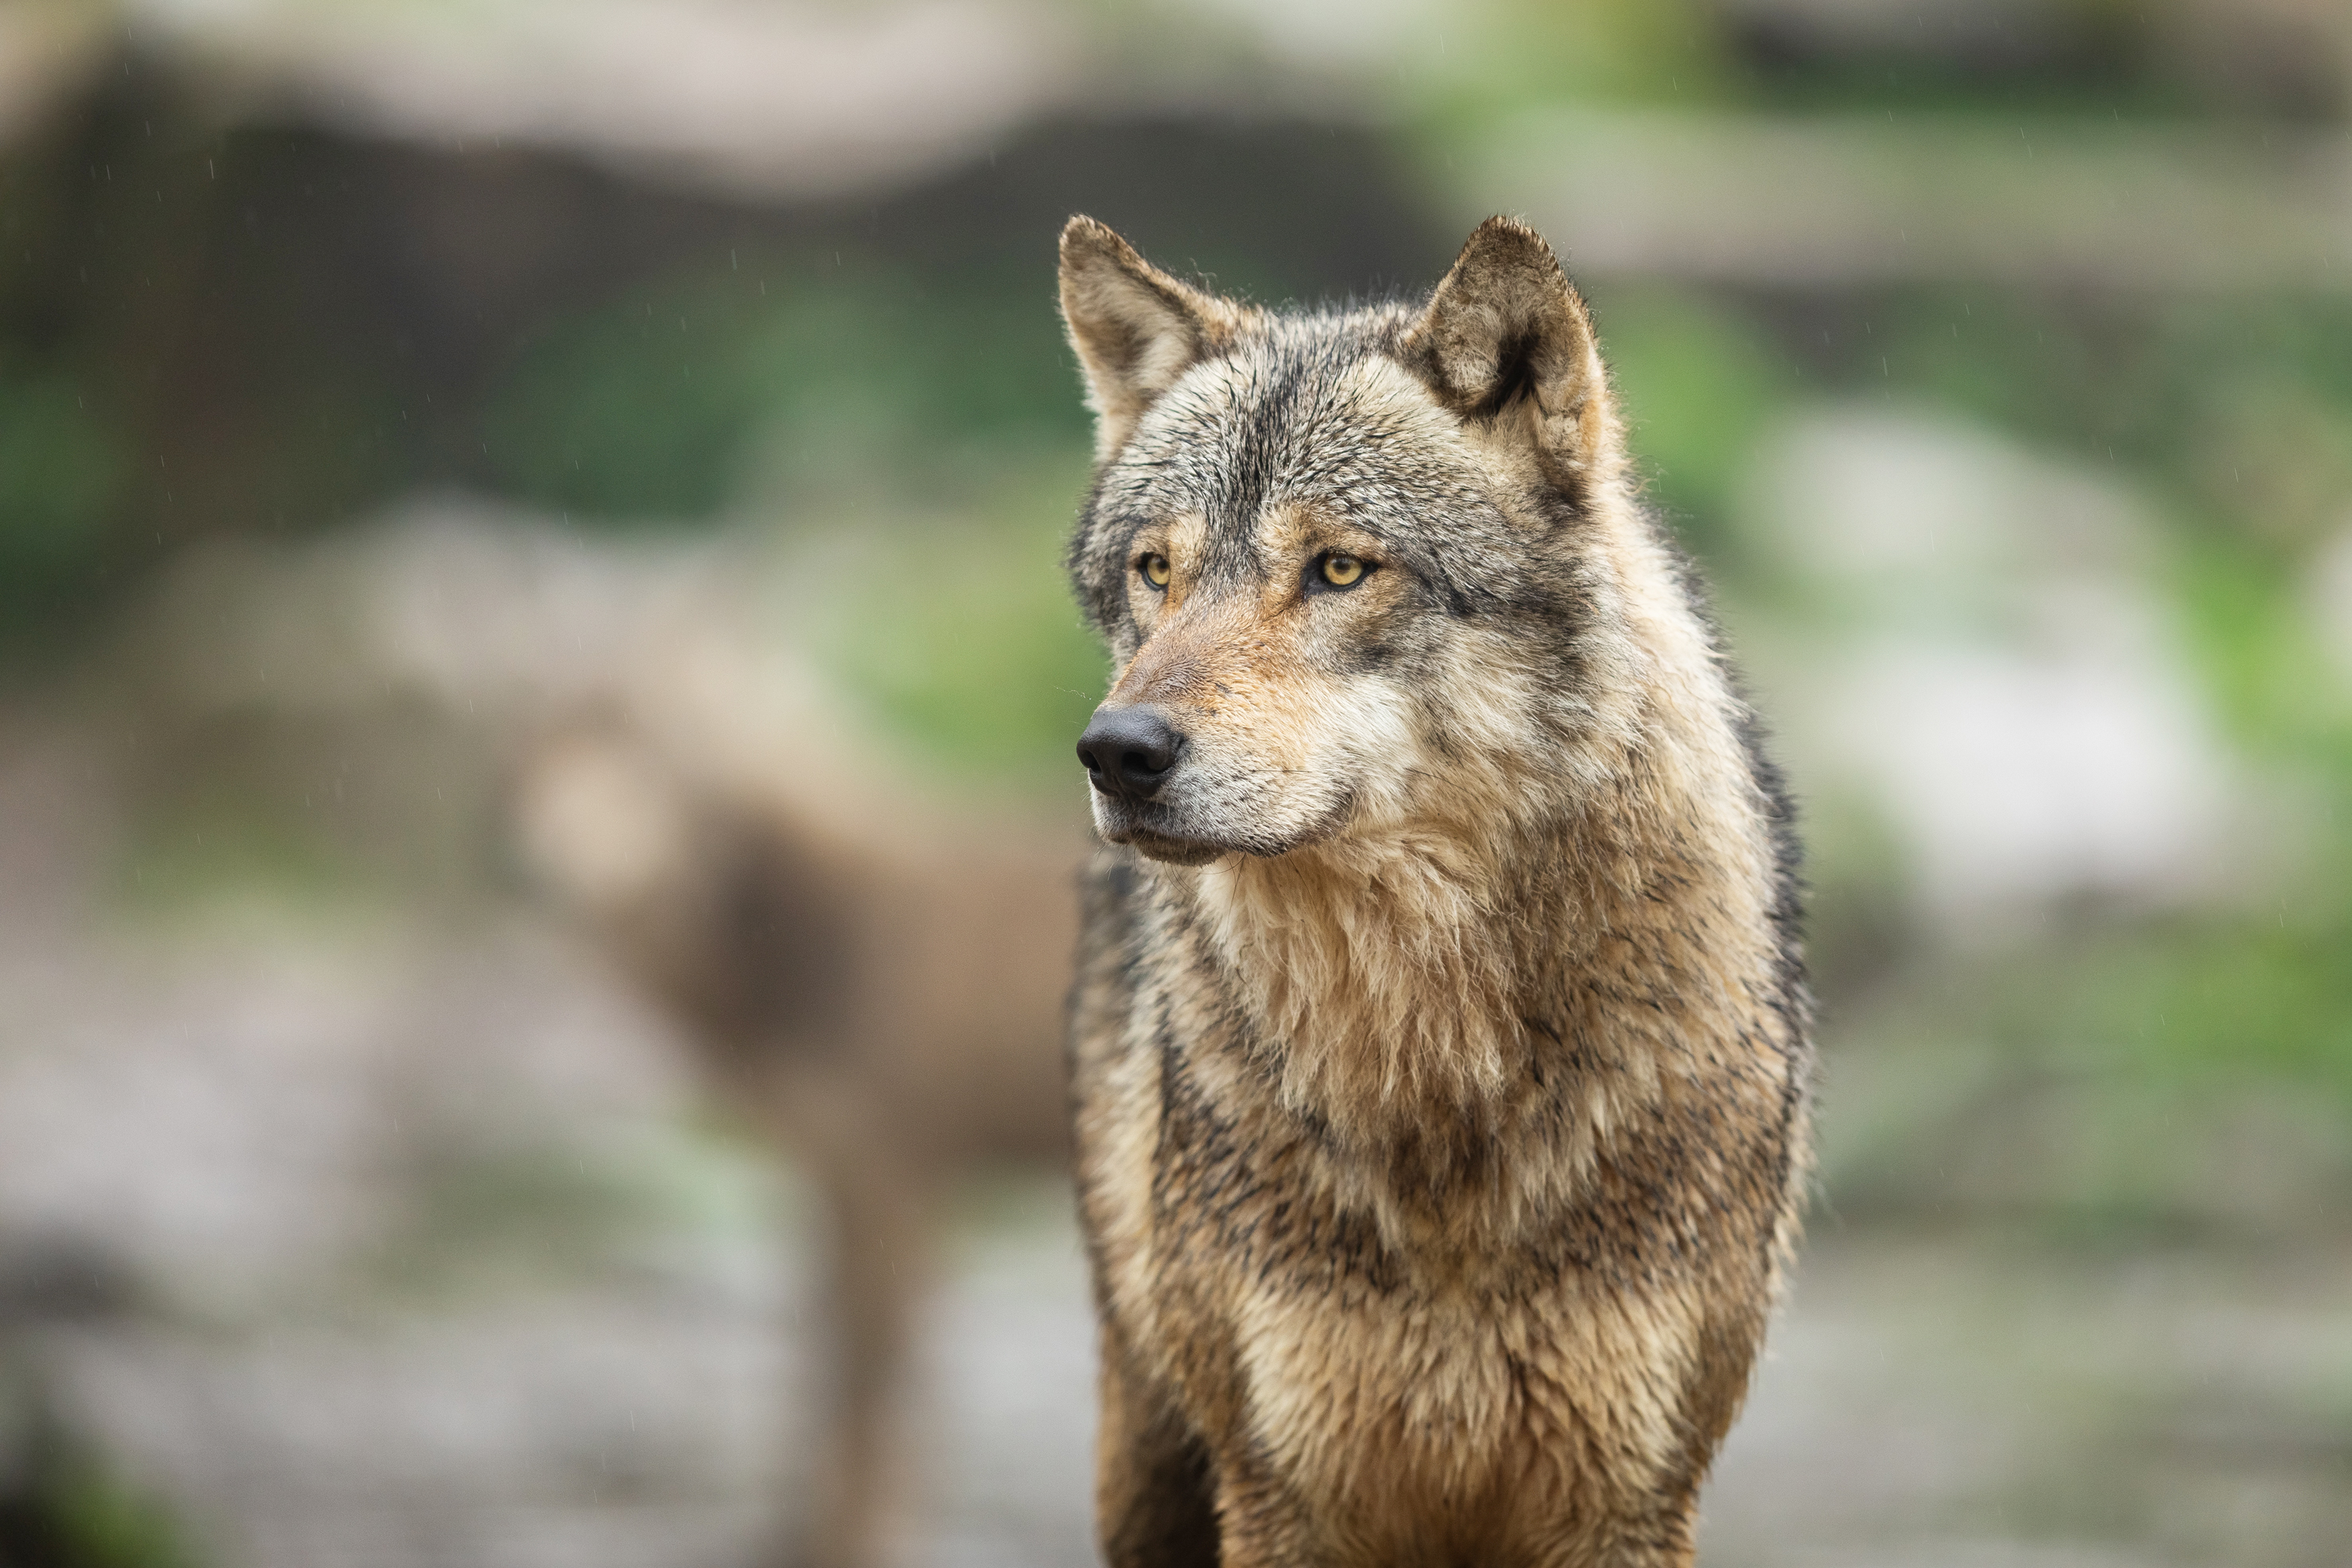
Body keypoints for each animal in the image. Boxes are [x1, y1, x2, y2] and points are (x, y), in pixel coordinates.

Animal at [1058, 214, 1813, 1567]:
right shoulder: (1284, 1492)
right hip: (1144, 1461)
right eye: (1155, 570)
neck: (1437, 1077)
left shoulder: (1627, 1499)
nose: (1118, 752)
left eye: (1338, 569)